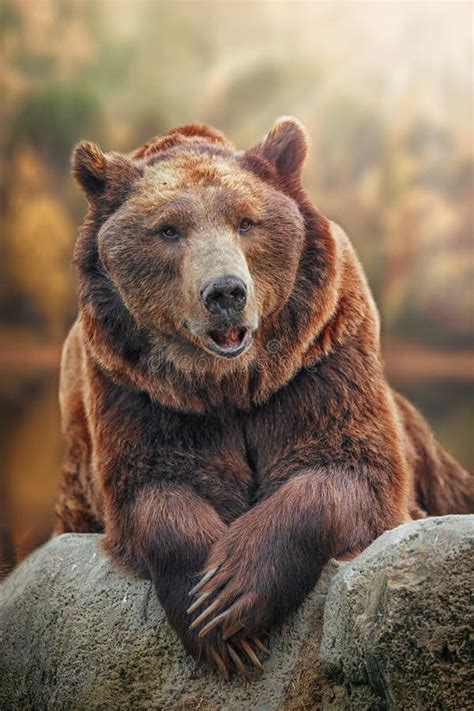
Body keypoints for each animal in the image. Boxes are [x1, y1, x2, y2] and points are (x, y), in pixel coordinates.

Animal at [54, 117, 470, 680]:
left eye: (246, 222)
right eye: (169, 229)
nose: (225, 292)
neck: (231, 382)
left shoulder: (319, 359)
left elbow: (347, 468)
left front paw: (234, 588)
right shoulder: (139, 390)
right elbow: (154, 486)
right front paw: (207, 610)